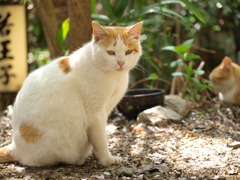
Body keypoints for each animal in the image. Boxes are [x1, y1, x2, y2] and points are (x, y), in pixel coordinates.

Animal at [0, 21, 142, 167]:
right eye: (110, 52)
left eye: (128, 51)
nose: (121, 62)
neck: (115, 76)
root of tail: (14, 147)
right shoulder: (95, 114)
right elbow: (101, 139)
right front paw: (107, 160)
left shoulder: (106, 110)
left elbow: (96, 139)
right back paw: (77, 160)